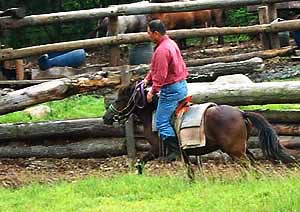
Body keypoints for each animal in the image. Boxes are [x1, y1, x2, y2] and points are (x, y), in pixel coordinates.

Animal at [102, 81, 296, 166]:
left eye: (118, 100)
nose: (105, 117)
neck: (153, 113)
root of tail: (241, 112)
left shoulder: (157, 149)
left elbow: (142, 161)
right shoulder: (184, 154)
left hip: (235, 151)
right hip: (241, 148)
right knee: (253, 161)